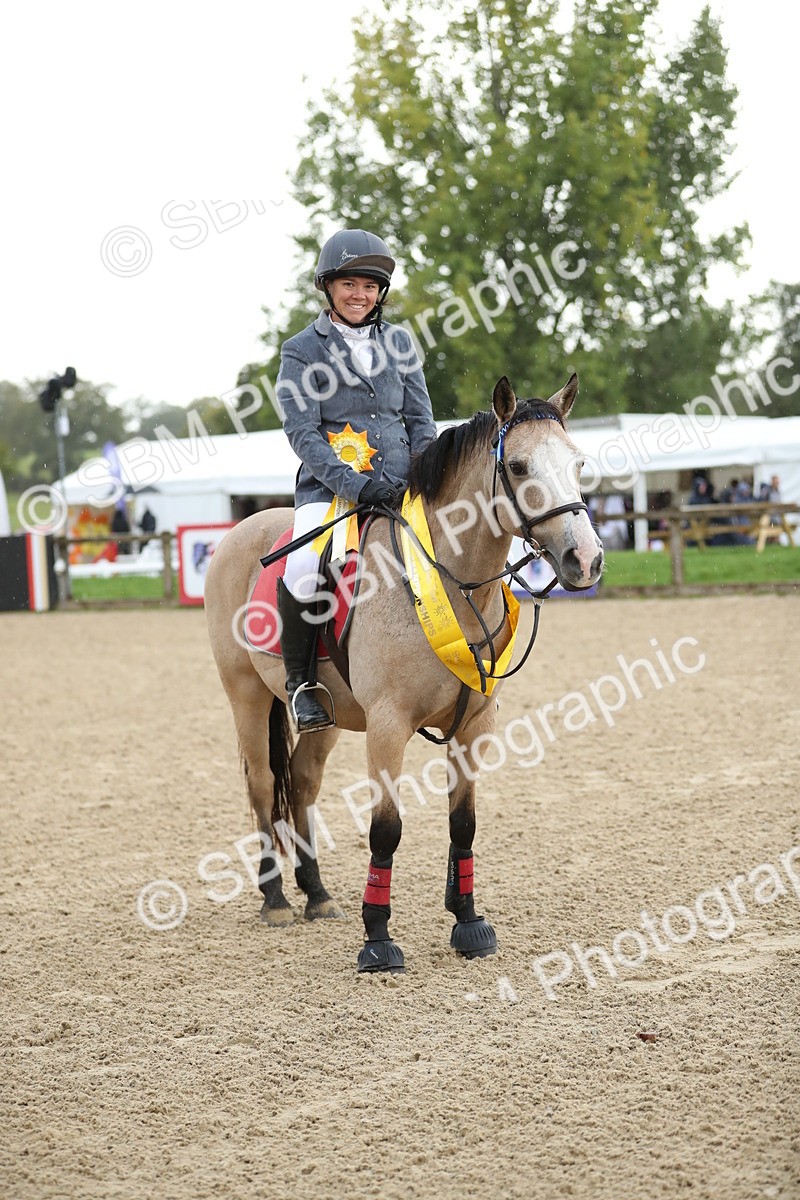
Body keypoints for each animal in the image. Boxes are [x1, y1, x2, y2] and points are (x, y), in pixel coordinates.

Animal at [204, 373, 603, 972]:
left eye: (577, 463)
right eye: (517, 466)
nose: (585, 560)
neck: (451, 583)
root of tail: (239, 529)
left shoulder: (475, 723)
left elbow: (463, 822)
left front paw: (468, 923)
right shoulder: (389, 725)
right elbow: (386, 830)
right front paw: (378, 940)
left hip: (329, 718)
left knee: (301, 781)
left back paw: (316, 894)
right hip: (246, 695)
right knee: (262, 784)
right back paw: (275, 899)